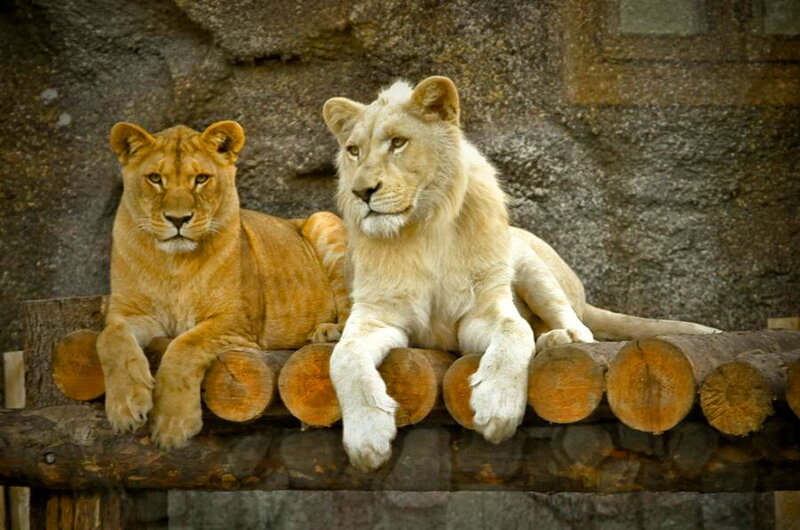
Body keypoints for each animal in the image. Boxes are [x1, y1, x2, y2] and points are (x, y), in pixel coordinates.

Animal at [98, 120, 349, 449]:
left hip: (324, 221)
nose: (178, 219)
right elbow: (109, 339)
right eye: (155, 179)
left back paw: (329, 331)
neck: (174, 263)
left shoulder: (236, 321)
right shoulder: (130, 313)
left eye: (201, 179)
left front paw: (173, 425)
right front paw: (126, 408)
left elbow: (184, 346)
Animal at [322, 76, 718, 471]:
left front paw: (497, 407)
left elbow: (515, 331)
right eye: (354, 150)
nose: (362, 191)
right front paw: (367, 437)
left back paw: (561, 339)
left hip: (528, 260)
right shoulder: (377, 316)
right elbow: (343, 358)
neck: (423, 229)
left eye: (398, 142)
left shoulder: (481, 309)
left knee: (580, 329)